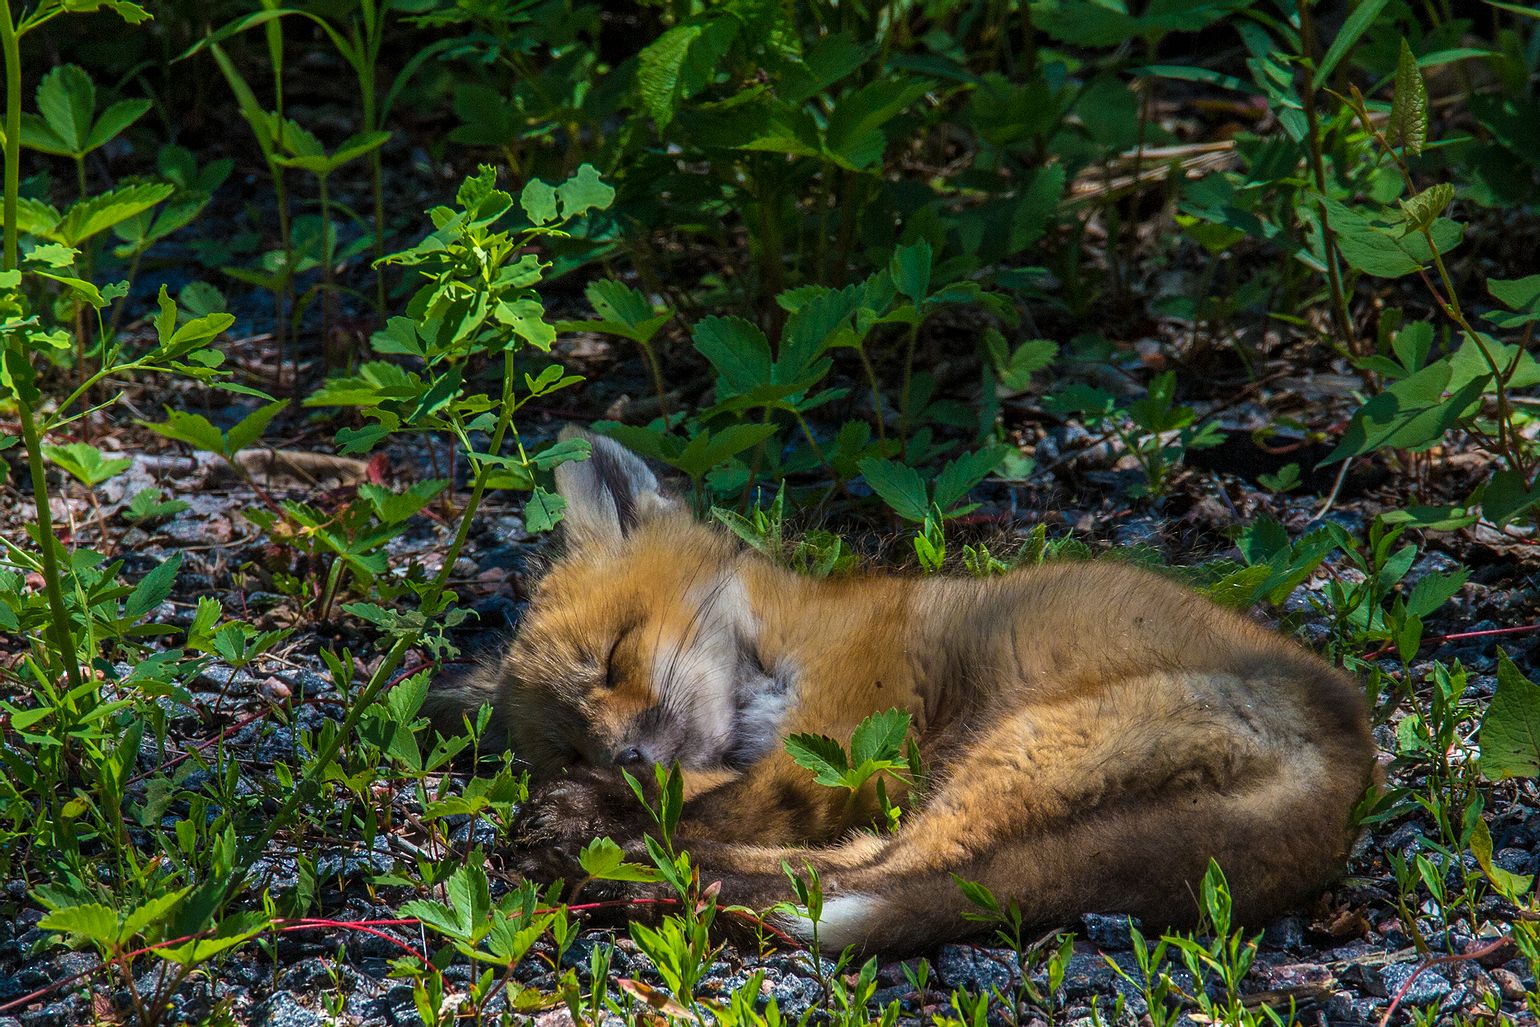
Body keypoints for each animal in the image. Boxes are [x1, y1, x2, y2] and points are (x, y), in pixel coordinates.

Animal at [430, 428, 1377, 953]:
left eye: (614, 656)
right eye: (569, 739)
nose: (618, 753)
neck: (781, 642)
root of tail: (1351, 768)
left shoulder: (847, 746)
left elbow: (705, 798)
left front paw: (591, 812)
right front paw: (585, 807)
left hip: (1012, 749)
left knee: (872, 868)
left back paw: (614, 871)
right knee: (863, 869)